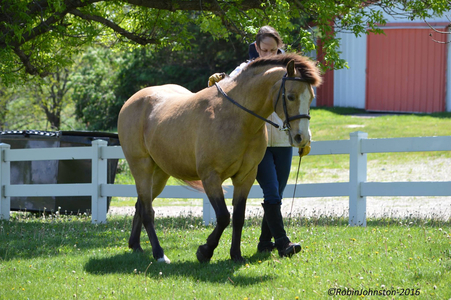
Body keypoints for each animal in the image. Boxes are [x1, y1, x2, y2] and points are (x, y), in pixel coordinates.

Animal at [116, 52, 322, 264]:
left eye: (311, 97)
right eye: (290, 96)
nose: (302, 138)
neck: (237, 118)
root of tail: (132, 101)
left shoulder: (245, 177)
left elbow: (238, 217)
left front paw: (236, 255)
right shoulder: (211, 177)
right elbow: (223, 216)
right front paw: (205, 251)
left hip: (159, 174)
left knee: (140, 205)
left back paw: (136, 245)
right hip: (142, 168)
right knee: (147, 211)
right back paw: (159, 254)